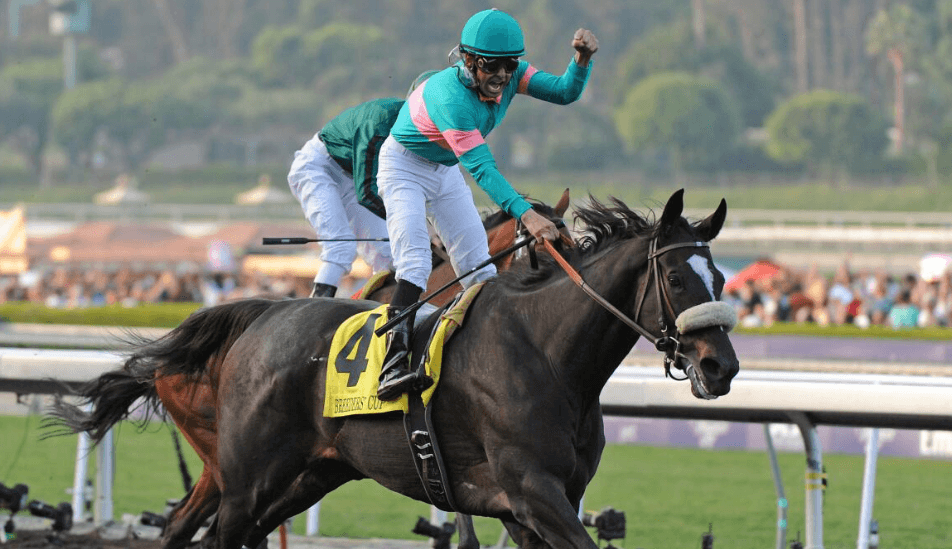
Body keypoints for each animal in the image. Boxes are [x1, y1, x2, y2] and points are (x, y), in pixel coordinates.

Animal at [50, 189, 738, 549]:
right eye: (678, 278)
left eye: (723, 279)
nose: (722, 366)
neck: (547, 354)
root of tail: (262, 312)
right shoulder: (532, 491)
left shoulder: (540, 502)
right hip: (243, 477)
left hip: (307, 475)